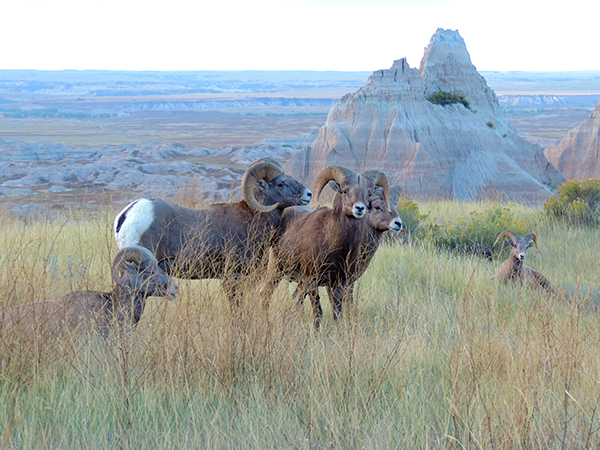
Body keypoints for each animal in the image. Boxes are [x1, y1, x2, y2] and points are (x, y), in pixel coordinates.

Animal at [260, 165, 392, 324]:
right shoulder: (311, 280)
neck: (336, 246)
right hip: (275, 270)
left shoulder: (338, 284)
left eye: (369, 193)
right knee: (266, 295)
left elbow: (337, 313)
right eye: (345, 191)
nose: (359, 209)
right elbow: (318, 312)